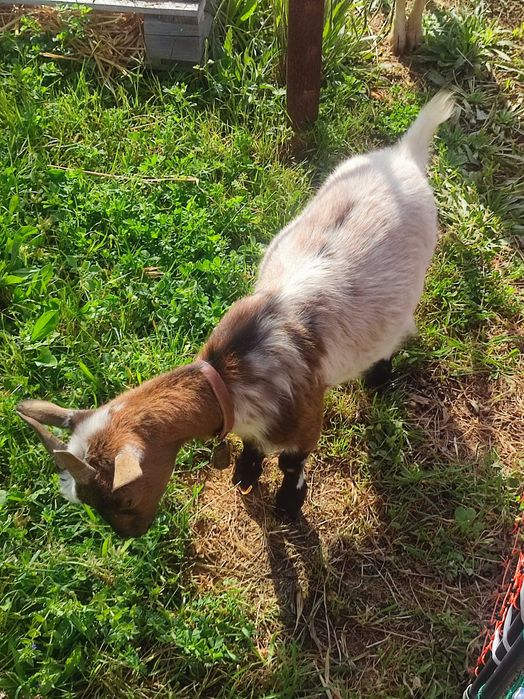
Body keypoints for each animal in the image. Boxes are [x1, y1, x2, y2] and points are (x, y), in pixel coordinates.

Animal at [18, 91, 455, 538]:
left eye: (122, 498)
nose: (130, 535)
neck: (232, 372)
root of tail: (402, 156)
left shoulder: (306, 418)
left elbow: (291, 463)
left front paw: (288, 505)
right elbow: (252, 444)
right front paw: (245, 472)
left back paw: (380, 379)